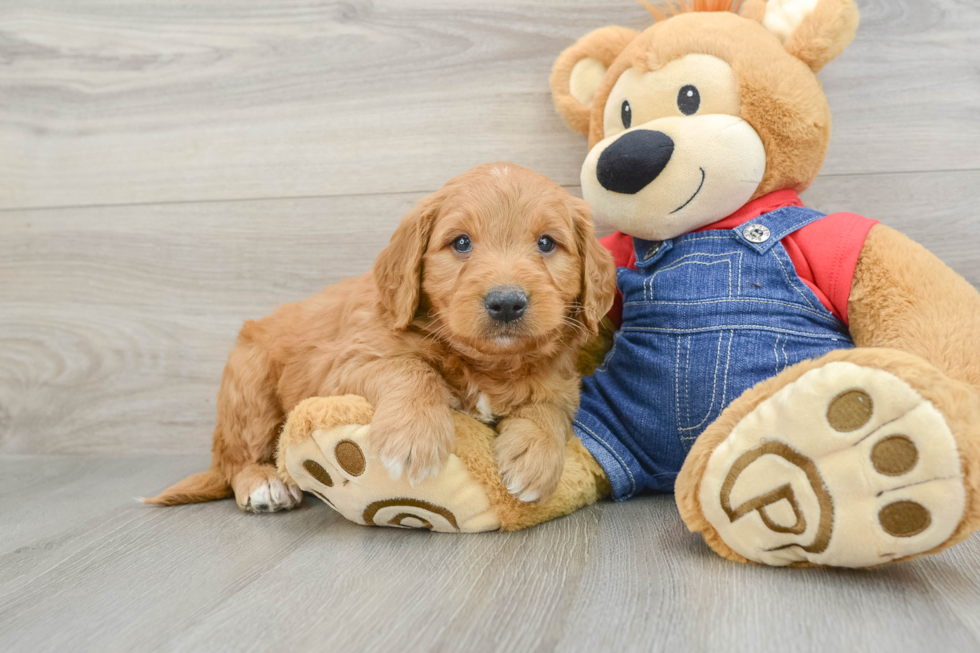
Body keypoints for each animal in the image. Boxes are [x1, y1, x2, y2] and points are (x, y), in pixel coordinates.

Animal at [145, 162, 612, 510]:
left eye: (547, 243)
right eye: (461, 243)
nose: (507, 302)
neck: (484, 362)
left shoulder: (561, 380)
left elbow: (549, 407)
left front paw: (536, 458)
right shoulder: (346, 362)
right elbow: (410, 368)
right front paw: (414, 437)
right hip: (249, 389)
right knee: (235, 459)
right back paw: (264, 484)